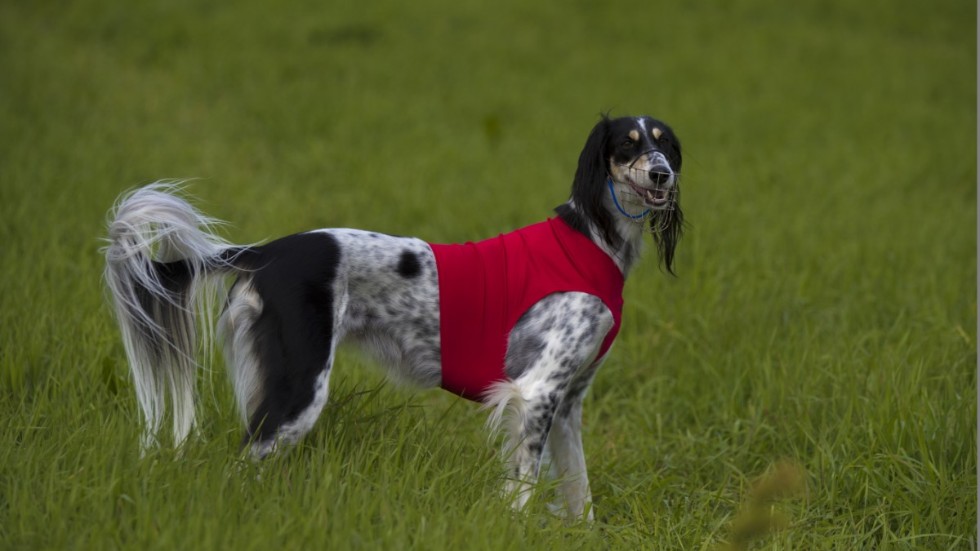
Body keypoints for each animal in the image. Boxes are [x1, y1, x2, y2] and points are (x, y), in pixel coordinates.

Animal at [101, 114, 680, 520]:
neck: (593, 241)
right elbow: (522, 487)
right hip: (300, 389)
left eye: (665, 143)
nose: (663, 174)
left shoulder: (568, 402)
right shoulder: (535, 394)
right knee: (239, 465)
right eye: (627, 143)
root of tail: (266, 252)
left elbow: (580, 494)